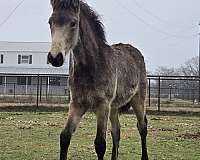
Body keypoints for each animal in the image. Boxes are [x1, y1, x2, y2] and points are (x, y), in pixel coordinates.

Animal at [47, 0, 148, 159]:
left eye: (73, 23)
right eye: (50, 22)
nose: (55, 57)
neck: (91, 66)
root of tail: (136, 51)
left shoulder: (103, 105)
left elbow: (100, 144)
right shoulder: (76, 104)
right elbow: (64, 137)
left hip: (138, 99)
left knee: (142, 127)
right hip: (114, 107)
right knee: (116, 131)